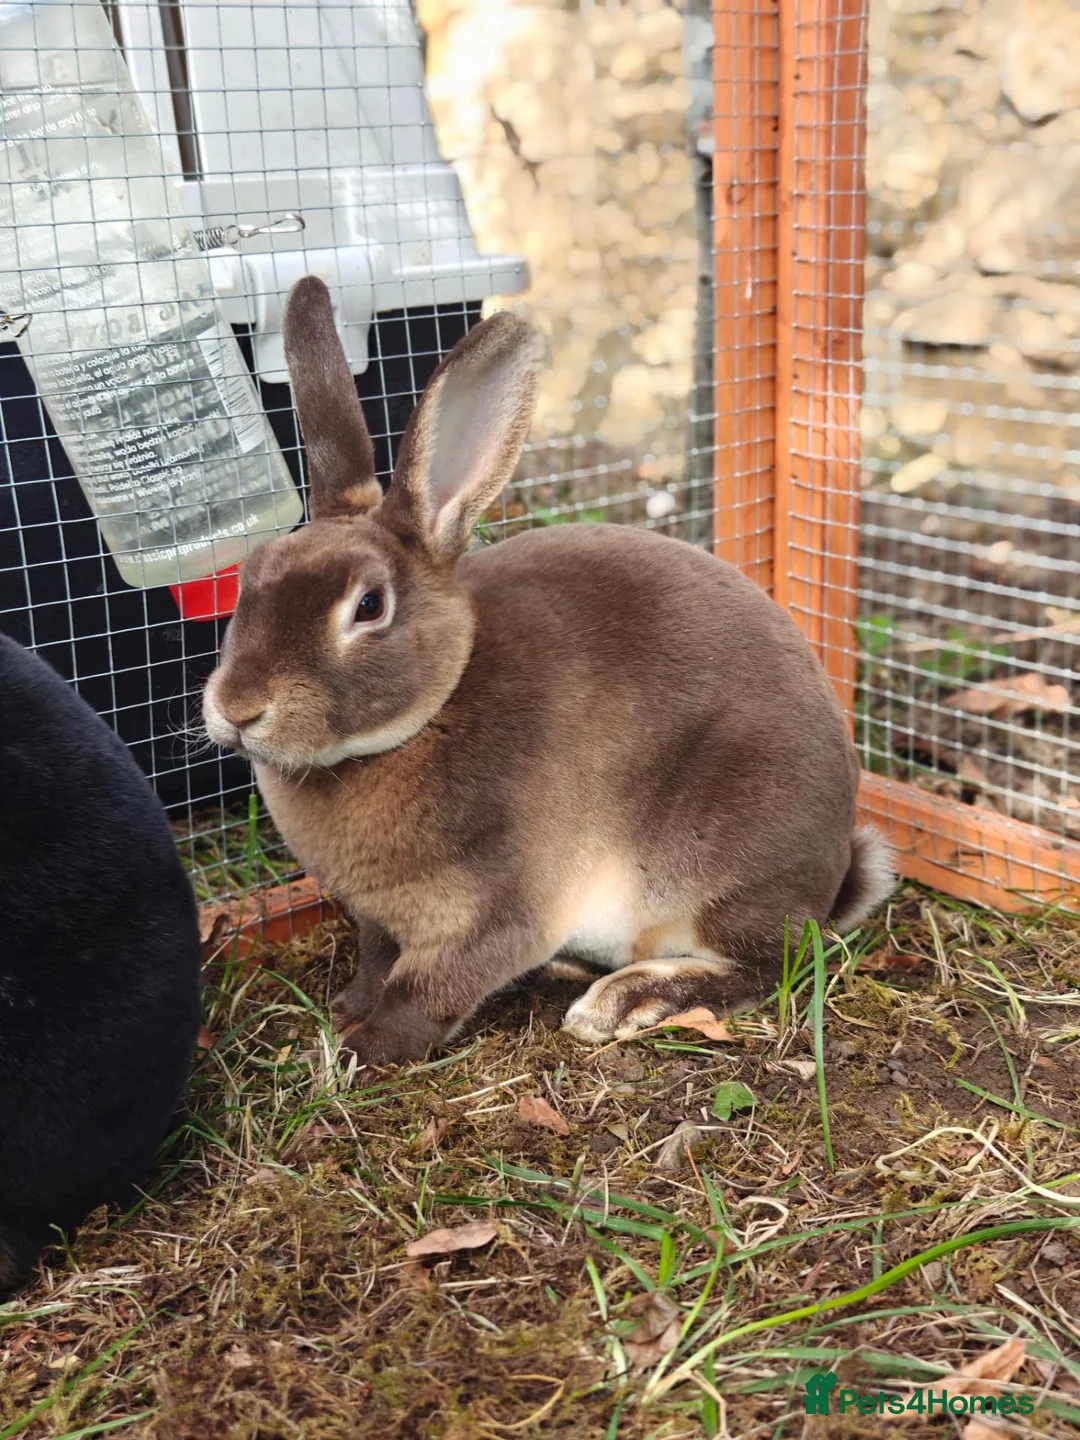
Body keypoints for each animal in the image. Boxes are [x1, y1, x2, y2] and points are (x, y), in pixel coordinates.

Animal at [202, 275, 894, 1068]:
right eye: (249, 578)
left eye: (368, 606)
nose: (238, 708)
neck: (425, 719)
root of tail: (835, 874)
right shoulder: (382, 921)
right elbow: (377, 961)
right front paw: (346, 1011)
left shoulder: (499, 910)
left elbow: (428, 990)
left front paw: (362, 1051)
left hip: (724, 860)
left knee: (776, 962)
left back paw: (624, 1000)